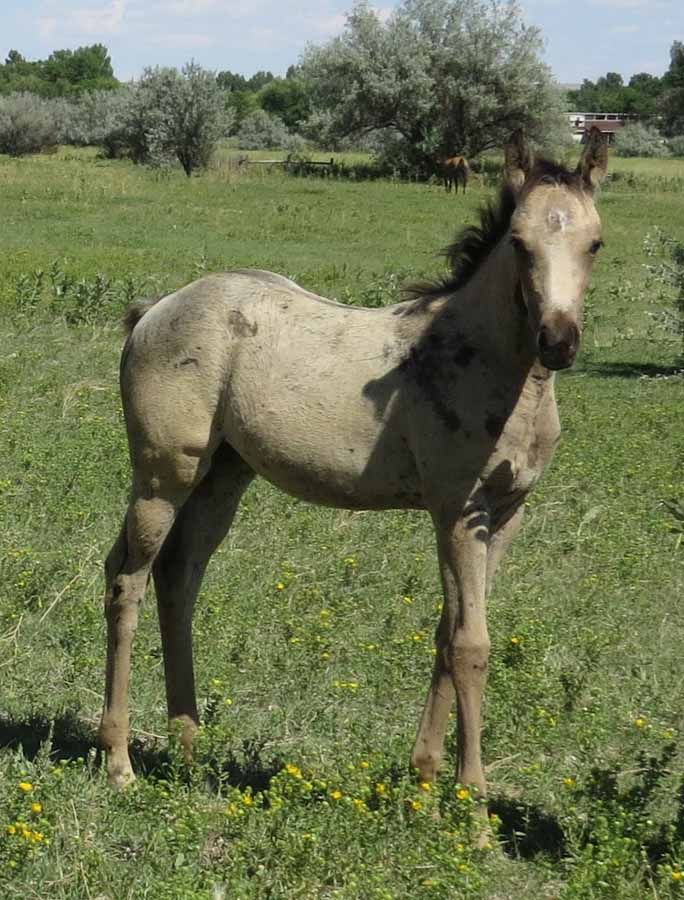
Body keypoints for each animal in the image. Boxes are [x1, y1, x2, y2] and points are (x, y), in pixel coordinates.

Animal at [98, 129, 607, 833]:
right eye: (518, 241)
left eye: (596, 242)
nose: (557, 340)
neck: (485, 363)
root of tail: (156, 309)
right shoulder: (457, 511)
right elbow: (472, 646)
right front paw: (475, 816)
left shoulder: (505, 516)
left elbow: (448, 634)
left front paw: (423, 784)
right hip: (162, 475)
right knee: (128, 580)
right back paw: (119, 761)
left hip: (224, 476)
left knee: (178, 577)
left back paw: (189, 750)